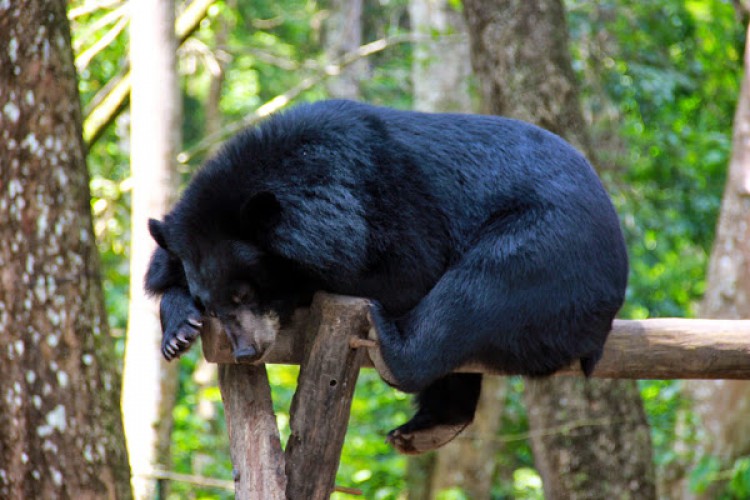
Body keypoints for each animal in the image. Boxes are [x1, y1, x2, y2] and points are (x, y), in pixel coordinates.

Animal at [145, 99, 628, 456]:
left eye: (245, 294)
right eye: (211, 303)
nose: (246, 350)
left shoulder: (385, 203)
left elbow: (403, 273)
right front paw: (178, 329)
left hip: (549, 247)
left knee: (476, 291)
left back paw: (390, 348)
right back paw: (429, 428)